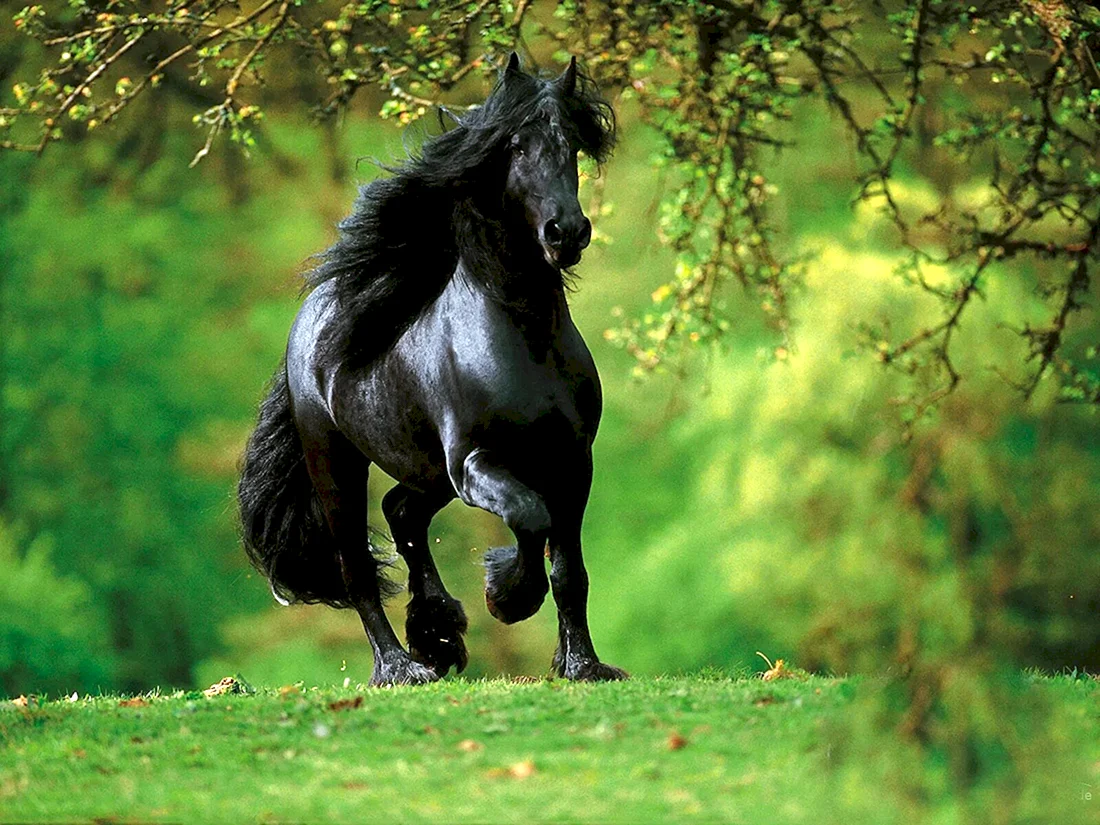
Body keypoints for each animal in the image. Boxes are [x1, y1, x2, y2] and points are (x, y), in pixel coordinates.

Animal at [237, 53, 628, 686]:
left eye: (571, 144)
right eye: (516, 145)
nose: (566, 232)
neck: (523, 341)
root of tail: (310, 318)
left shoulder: (571, 460)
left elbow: (570, 569)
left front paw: (583, 666)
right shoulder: (474, 462)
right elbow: (529, 517)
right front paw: (507, 596)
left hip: (425, 471)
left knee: (402, 515)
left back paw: (437, 633)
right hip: (338, 465)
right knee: (356, 569)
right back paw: (401, 667)